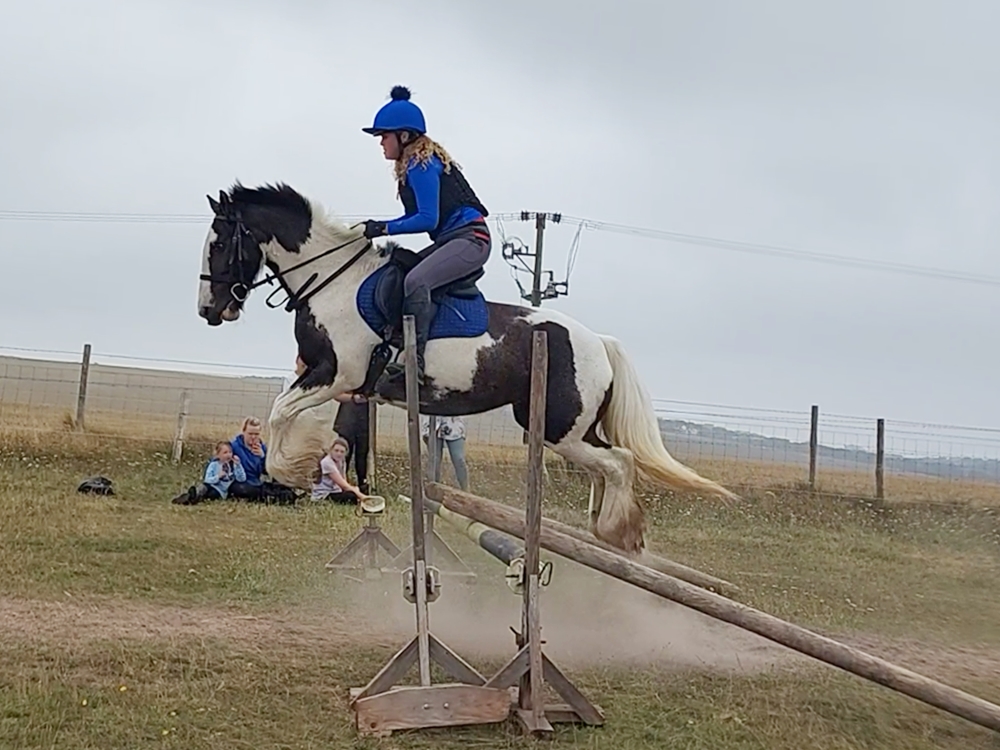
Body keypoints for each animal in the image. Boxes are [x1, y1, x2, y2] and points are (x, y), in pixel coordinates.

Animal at [196, 182, 737, 554]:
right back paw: (602, 531)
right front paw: (299, 463)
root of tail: (600, 344)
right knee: (607, 466)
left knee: (620, 463)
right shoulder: (323, 374)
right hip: (564, 429)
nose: (208, 310)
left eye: (219, 245)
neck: (333, 282)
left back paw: (619, 533)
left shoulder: (339, 375)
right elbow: (284, 409)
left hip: (560, 428)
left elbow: (280, 411)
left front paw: (290, 470)